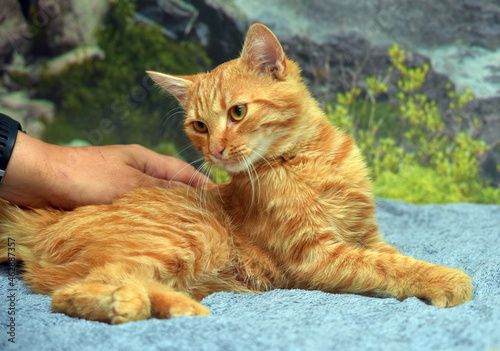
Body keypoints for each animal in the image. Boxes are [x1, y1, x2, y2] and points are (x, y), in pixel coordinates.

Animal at [0, 23, 472, 324]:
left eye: (238, 112)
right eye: (199, 125)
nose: (216, 150)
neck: (307, 160)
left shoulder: (366, 236)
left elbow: (392, 257)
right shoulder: (318, 255)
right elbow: (386, 267)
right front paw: (444, 278)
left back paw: (168, 304)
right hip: (195, 236)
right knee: (74, 290)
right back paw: (137, 305)